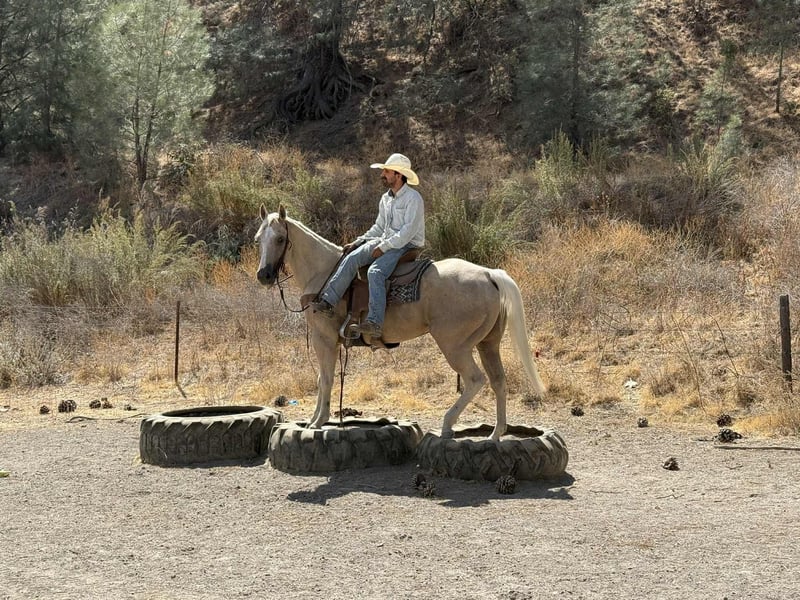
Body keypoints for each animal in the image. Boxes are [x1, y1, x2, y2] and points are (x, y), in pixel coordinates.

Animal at [255, 203, 546, 440]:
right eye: (258, 239)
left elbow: (324, 379)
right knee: (498, 381)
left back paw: (447, 424)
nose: (264, 276)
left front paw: (316, 422)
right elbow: (321, 378)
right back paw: (496, 434)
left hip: (455, 346)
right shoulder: (330, 342)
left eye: (280, 238)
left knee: (475, 380)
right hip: (488, 343)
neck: (325, 275)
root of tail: (489, 274)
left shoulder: (324, 339)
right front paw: (316, 419)